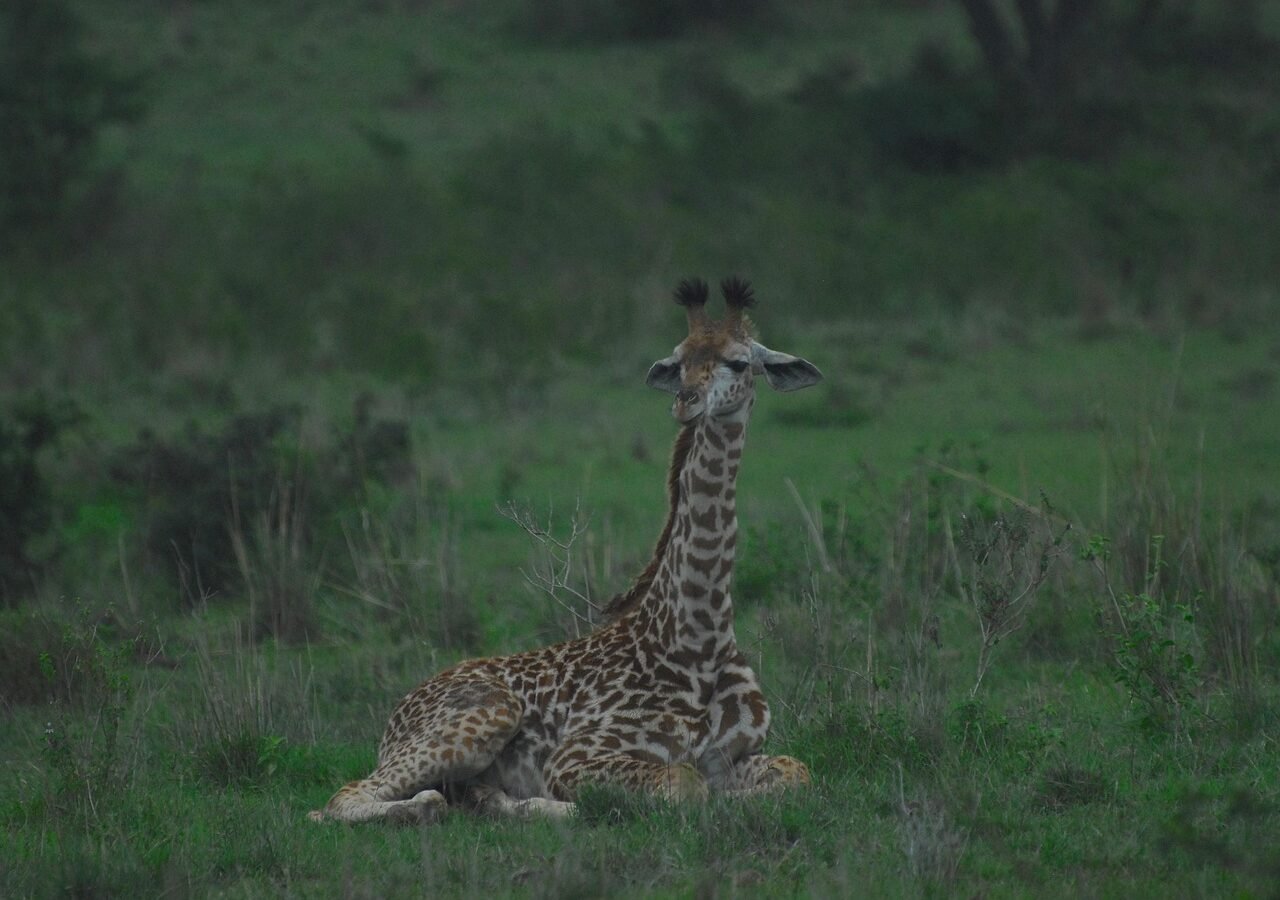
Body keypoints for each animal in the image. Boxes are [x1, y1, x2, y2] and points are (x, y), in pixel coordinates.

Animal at [309, 276, 822, 824]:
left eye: (739, 362)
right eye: (679, 359)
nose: (687, 401)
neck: (698, 641)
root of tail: (397, 711)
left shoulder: (737, 754)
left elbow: (796, 773)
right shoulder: (577, 756)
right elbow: (685, 784)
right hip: (486, 714)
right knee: (339, 800)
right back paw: (450, 804)